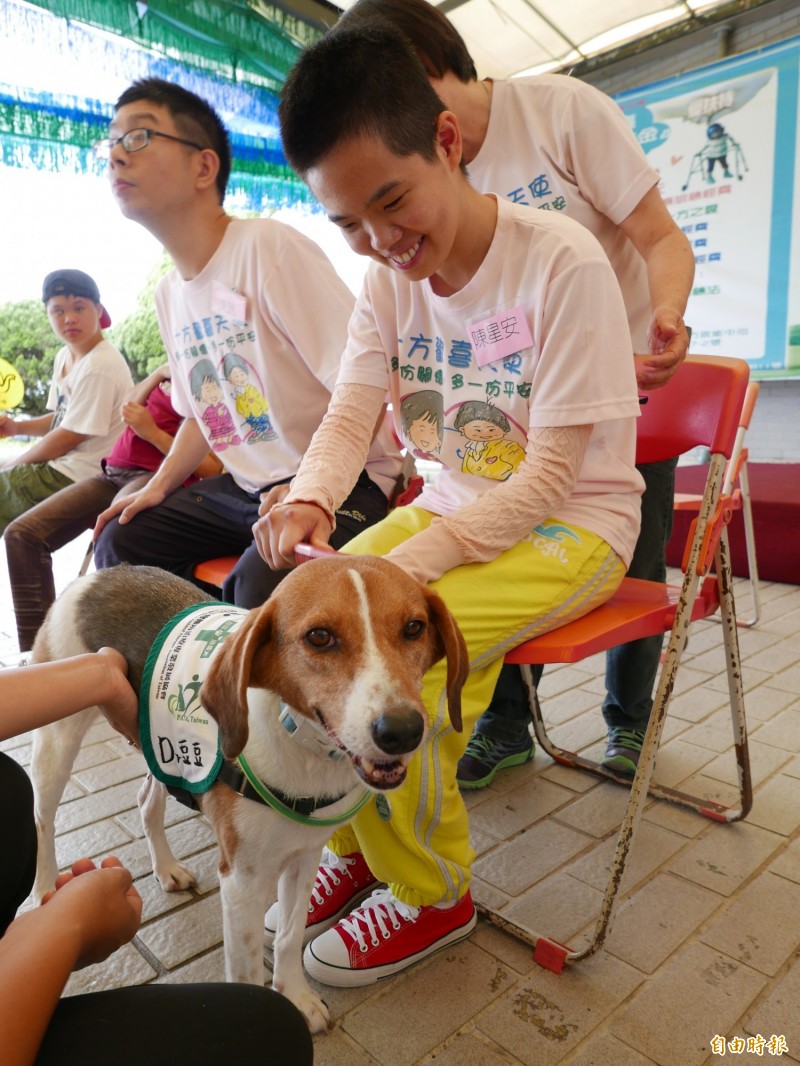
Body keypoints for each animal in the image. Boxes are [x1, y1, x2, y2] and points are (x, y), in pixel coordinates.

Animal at [28, 558, 469, 1031]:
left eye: (413, 627)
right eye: (319, 637)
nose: (402, 730)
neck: (301, 742)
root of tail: (101, 574)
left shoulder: (304, 857)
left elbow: (291, 935)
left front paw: (297, 997)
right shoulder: (241, 881)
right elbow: (246, 970)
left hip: (160, 752)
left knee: (146, 801)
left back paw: (166, 868)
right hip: (57, 738)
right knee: (43, 821)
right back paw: (45, 894)